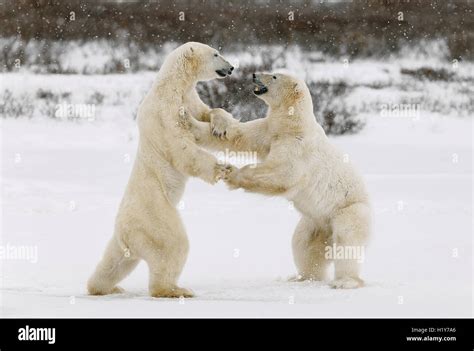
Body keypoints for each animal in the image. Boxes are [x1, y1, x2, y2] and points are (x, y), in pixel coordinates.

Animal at [87, 42, 235, 298]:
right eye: (216, 54)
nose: (232, 67)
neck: (173, 84)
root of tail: (126, 234)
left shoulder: (189, 97)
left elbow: (206, 114)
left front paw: (219, 125)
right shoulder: (165, 110)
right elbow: (181, 148)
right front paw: (222, 168)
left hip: (122, 240)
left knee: (114, 263)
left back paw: (105, 287)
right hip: (155, 218)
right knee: (173, 245)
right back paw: (175, 289)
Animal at [187, 73, 372, 290]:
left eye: (274, 75)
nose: (254, 74)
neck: (293, 124)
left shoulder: (298, 145)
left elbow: (283, 172)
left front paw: (232, 174)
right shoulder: (269, 131)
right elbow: (239, 136)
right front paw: (189, 120)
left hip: (348, 211)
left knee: (347, 241)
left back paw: (345, 281)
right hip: (314, 222)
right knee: (303, 244)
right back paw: (302, 277)